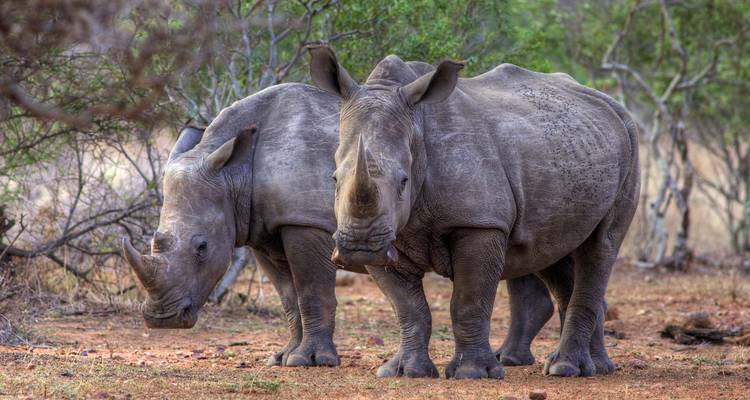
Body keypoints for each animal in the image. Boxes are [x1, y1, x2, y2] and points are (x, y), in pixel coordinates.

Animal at [121, 78, 571, 371]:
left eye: (201, 249)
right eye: (156, 242)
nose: (161, 320)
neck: (234, 172)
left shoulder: (305, 223)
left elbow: (311, 291)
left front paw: (310, 361)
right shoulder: (261, 227)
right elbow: (289, 297)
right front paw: (283, 358)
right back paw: (513, 360)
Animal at [309, 46, 640, 379]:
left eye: (403, 181)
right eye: (334, 178)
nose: (360, 248)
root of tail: (612, 105)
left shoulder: (480, 223)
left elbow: (468, 301)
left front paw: (472, 372)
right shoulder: (391, 235)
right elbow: (408, 307)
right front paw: (405, 371)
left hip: (631, 143)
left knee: (601, 246)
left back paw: (567, 368)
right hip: (571, 152)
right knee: (552, 248)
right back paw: (594, 366)